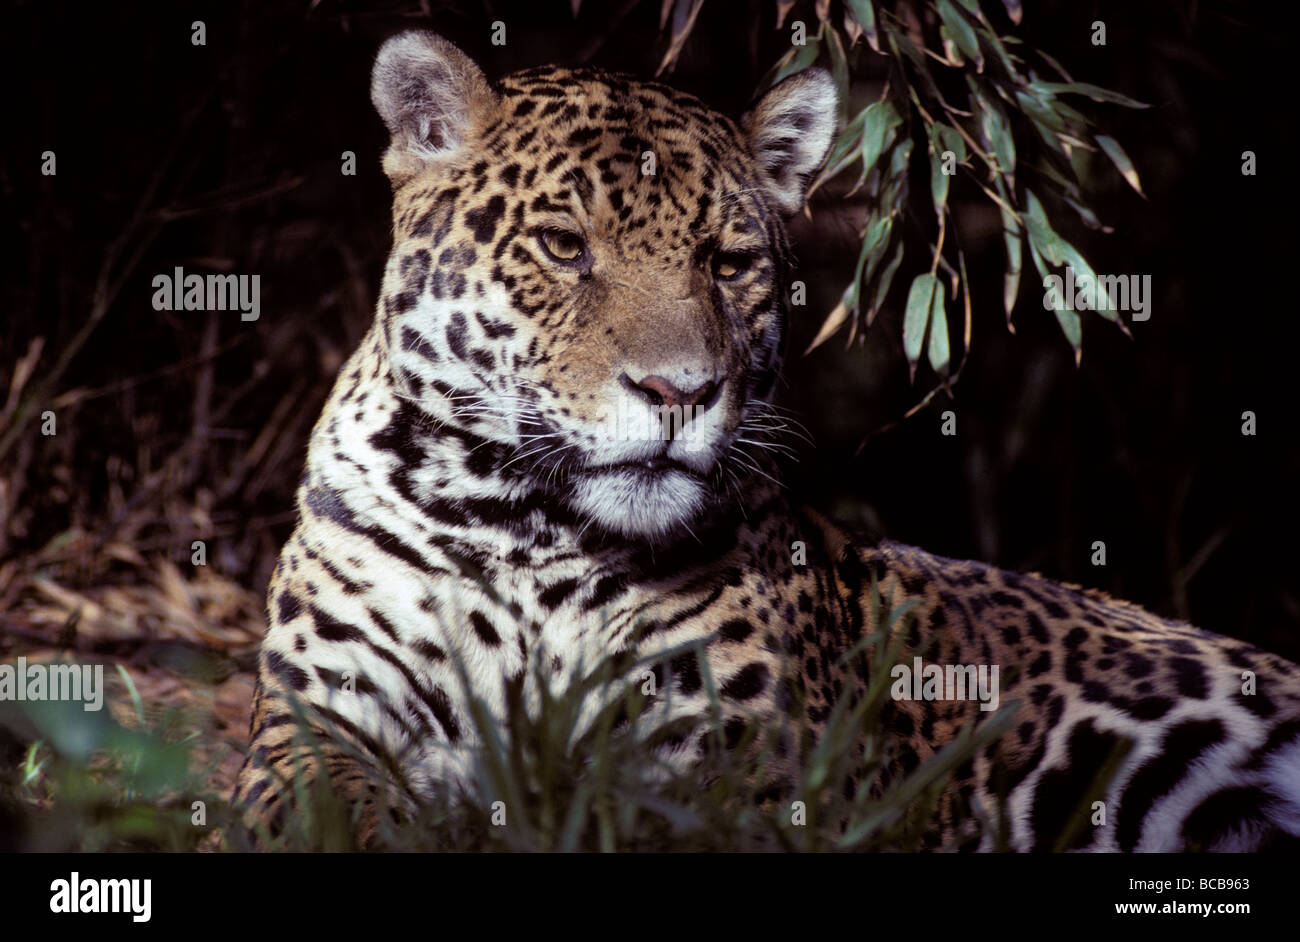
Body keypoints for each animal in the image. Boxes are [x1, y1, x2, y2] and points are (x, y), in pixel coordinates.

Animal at [234, 29, 1300, 852]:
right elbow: (336, 808)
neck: (523, 525)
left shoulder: (733, 764)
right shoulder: (312, 722)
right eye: (564, 247)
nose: (680, 391)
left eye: (729, 262)